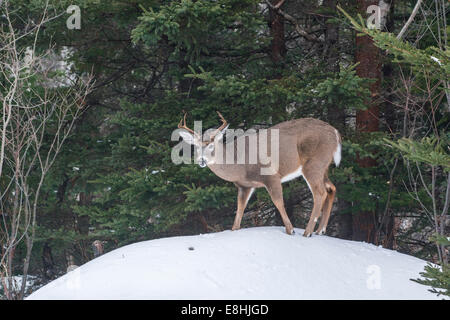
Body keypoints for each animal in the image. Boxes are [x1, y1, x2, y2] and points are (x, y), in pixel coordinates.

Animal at [177, 111, 342, 236]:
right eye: (195, 146)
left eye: (212, 145)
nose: (201, 160)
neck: (239, 166)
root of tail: (335, 133)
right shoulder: (244, 186)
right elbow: (240, 208)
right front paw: (234, 230)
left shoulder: (271, 175)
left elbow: (278, 202)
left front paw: (290, 230)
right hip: (323, 167)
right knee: (331, 188)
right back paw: (320, 230)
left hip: (313, 164)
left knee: (320, 193)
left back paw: (307, 232)